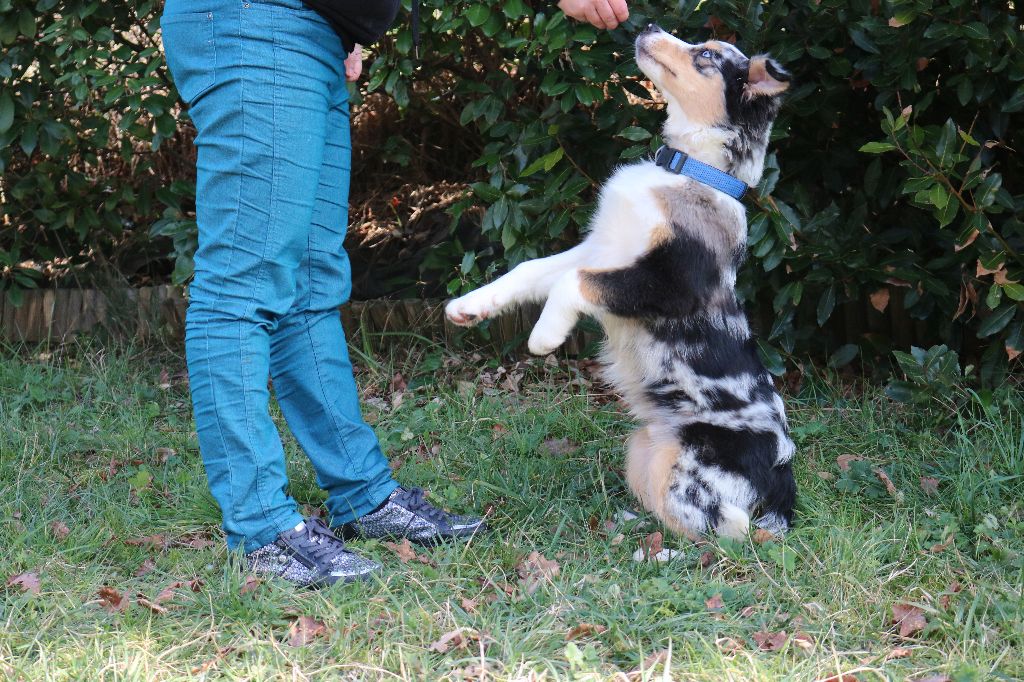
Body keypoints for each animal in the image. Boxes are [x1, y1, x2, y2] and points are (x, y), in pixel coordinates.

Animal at [446, 25, 790, 536]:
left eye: (707, 56)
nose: (648, 27)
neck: (687, 169)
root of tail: (784, 475)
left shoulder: (670, 284)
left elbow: (575, 282)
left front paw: (544, 337)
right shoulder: (601, 248)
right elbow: (532, 269)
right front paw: (469, 306)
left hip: (695, 478)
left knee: (732, 529)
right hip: (642, 449)